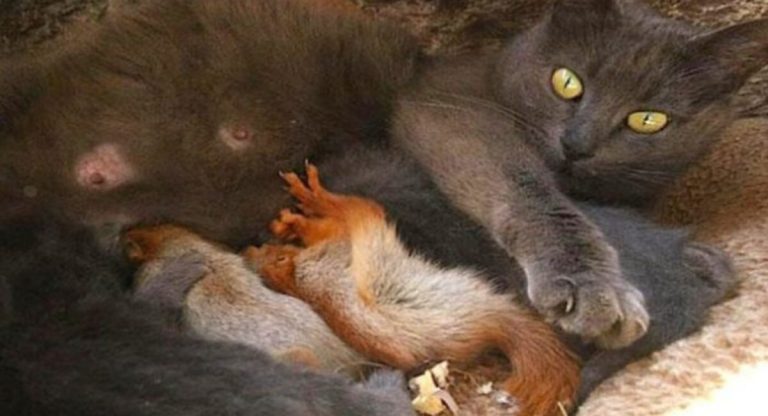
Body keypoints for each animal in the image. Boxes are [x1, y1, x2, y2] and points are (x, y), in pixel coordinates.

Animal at [243, 165, 580, 416]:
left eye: (266, 249)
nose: (250, 249)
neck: (298, 277)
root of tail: (496, 321)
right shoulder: (339, 244)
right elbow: (331, 222)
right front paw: (304, 210)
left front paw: (288, 223)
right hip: (372, 229)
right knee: (356, 206)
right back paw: (315, 195)